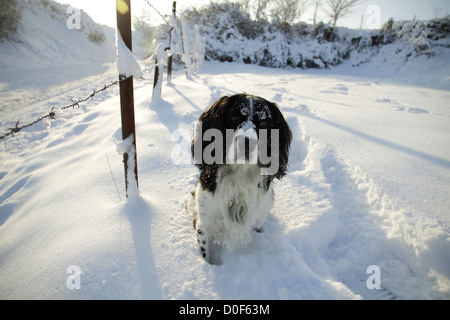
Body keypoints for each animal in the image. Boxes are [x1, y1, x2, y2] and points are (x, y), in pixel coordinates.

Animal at [186, 93, 292, 264]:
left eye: (264, 122)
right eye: (234, 116)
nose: (247, 143)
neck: (240, 174)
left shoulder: (257, 217)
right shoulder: (205, 222)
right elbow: (205, 252)